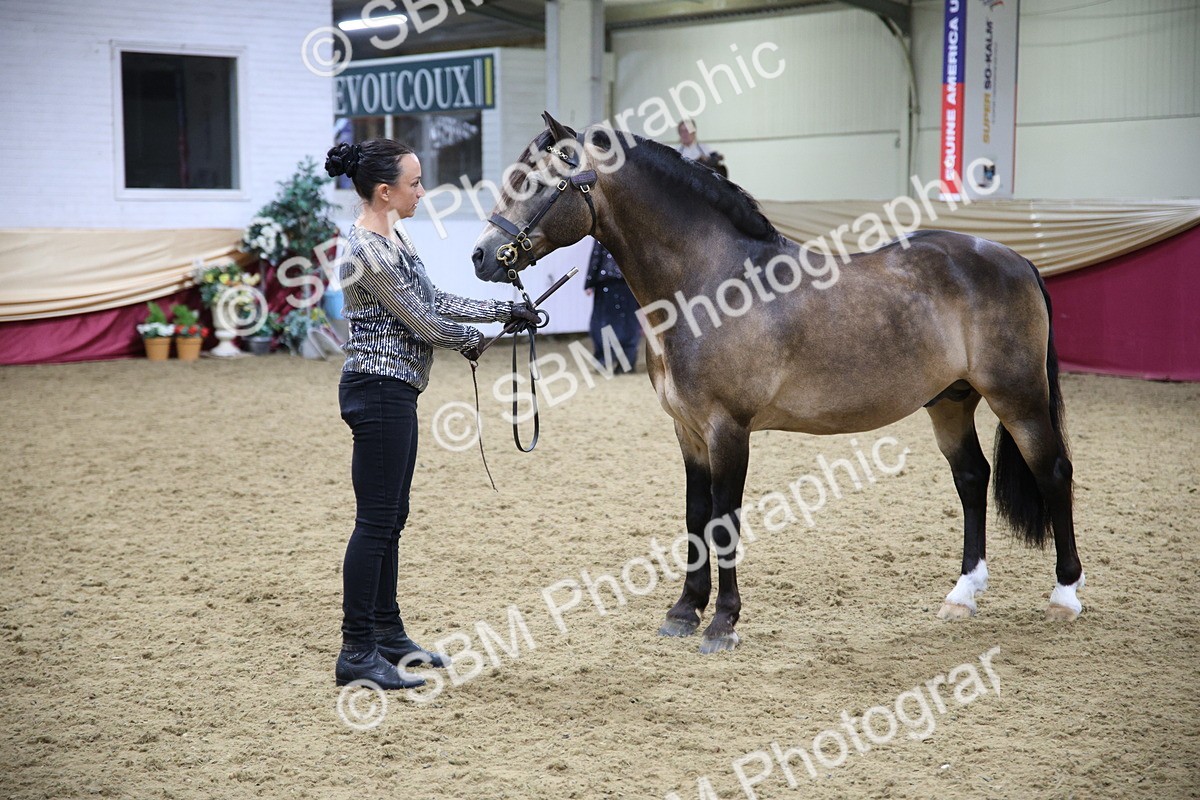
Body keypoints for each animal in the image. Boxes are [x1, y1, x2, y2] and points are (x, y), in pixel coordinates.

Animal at [471, 112, 1084, 654]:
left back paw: (1065, 595)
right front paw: (683, 613)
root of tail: (1015, 260)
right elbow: (695, 516)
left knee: (1053, 472)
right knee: (972, 478)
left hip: (1019, 398)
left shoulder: (728, 430)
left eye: (534, 180)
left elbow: (725, 522)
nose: (480, 256)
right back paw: (962, 595)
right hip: (950, 401)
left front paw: (722, 624)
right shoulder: (689, 433)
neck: (710, 283)